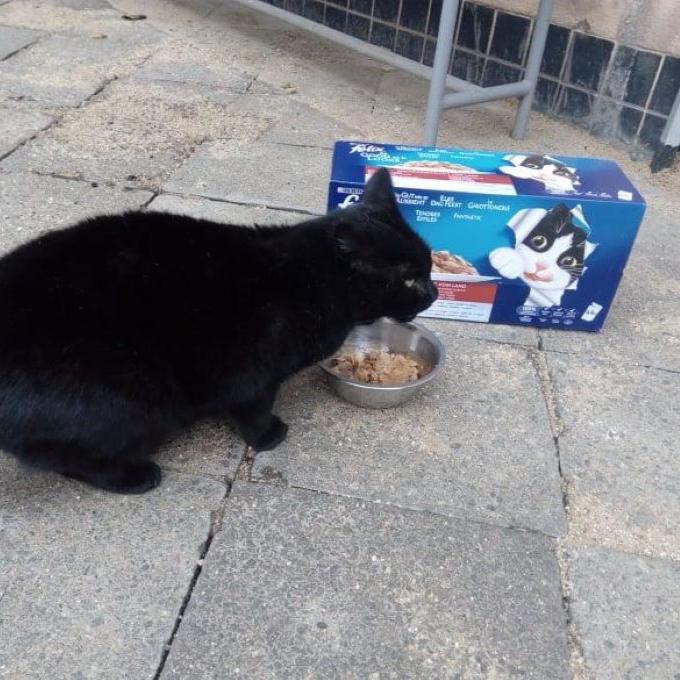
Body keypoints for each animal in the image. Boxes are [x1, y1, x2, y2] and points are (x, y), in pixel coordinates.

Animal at [0, 168, 436, 494]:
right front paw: (269, 436)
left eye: (430, 265)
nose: (433, 292)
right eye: (409, 279)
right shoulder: (254, 374)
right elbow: (254, 411)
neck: (311, 280)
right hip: (131, 396)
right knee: (70, 459)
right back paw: (136, 476)